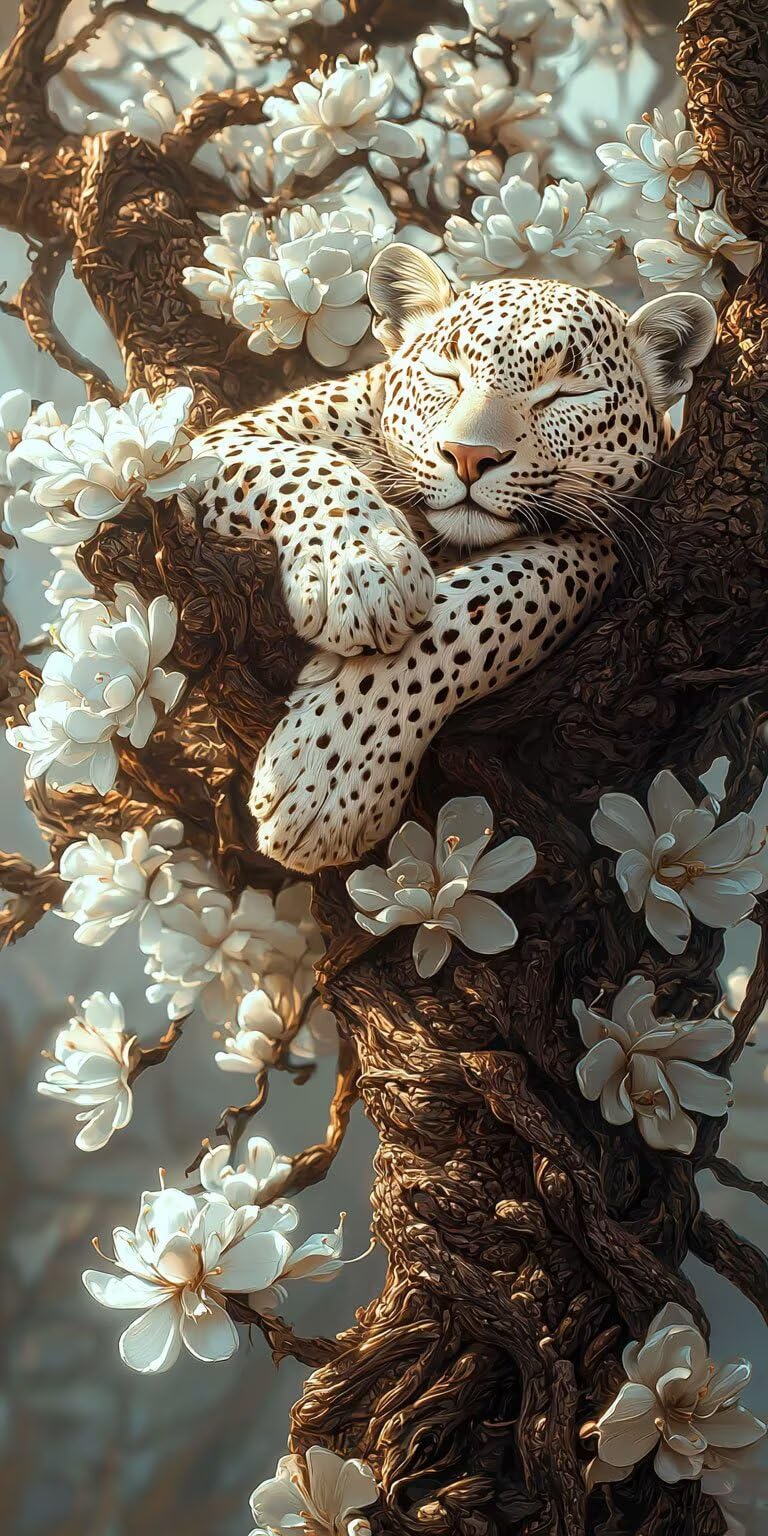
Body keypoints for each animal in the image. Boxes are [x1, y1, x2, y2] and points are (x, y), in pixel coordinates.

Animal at [194, 243, 717, 874]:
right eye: (446, 374)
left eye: (567, 394)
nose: (468, 455)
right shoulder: (215, 443)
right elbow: (304, 464)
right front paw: (362, 568)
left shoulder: (599, 543)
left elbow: (475, 611)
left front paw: (330, 775)